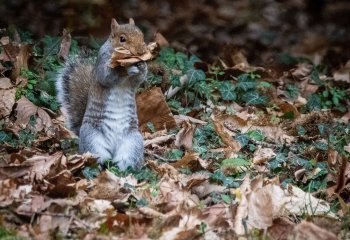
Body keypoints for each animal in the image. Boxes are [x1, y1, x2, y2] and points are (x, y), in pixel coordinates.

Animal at [55, 18, 148, 169]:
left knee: (125, 162)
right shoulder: (102, 62)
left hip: (133, 142)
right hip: (92, 139)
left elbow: (138, 80)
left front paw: (142, 66)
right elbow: (107, 77)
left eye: (142, 35)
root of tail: (113, 149)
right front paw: (124, 70)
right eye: (122, 39)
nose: (141, 51)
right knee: (96, 160)